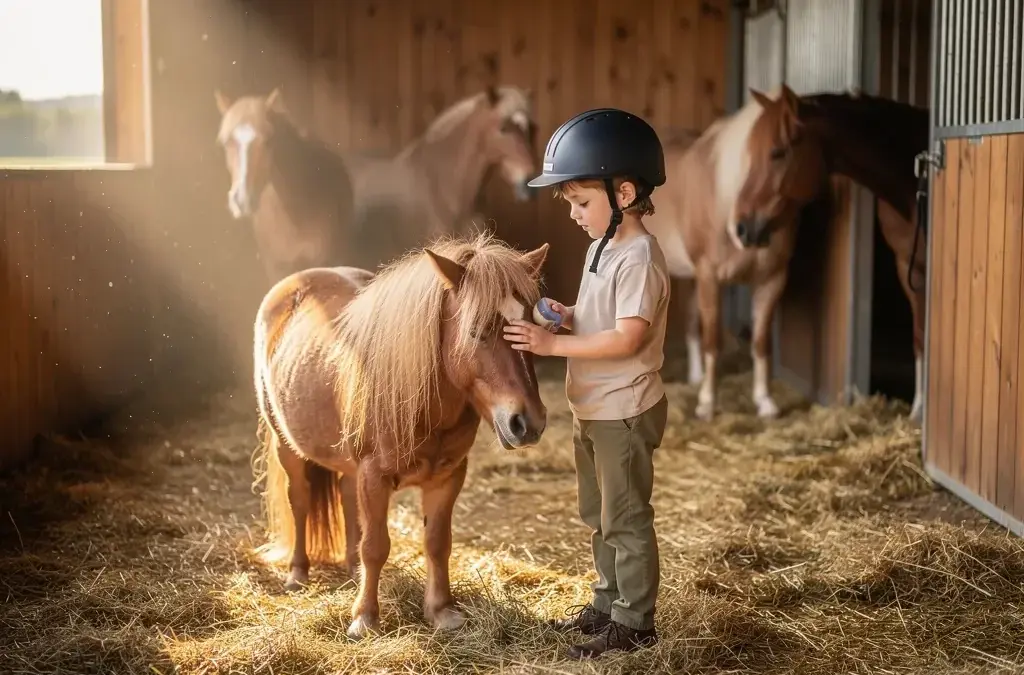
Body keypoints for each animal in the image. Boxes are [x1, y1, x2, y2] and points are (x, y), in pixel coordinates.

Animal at [251, 233, 550, 640]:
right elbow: (376, 545)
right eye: (476, 331)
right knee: (299, 502)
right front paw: (365, 618)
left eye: (532, 330)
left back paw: (350, 569)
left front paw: (441, 611)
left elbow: (437, 543)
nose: (528, 422)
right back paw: (298, 573)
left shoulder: (447, 477)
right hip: (288, 447)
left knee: (346, 499)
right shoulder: (374, 477)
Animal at [643, 87, 827, 420]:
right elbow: (713, 340)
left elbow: (761, 342)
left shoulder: (771, 280)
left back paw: (695, 376)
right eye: (749, 155)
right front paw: (707, 404)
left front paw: (765, 401)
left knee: (691, 319)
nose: (744, 229)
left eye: (777, 152)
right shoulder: (710, 276)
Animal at [736, 86, 930, 422]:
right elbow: (919, 337)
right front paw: (918, 411)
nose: (743, 228)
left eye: (777, 152)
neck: (911, 177)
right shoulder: (909, 264)